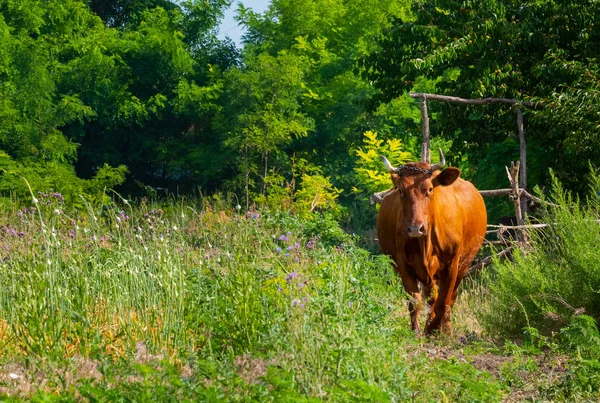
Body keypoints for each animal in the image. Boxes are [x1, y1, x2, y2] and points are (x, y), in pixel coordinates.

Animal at [380, 150, 488, 336]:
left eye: (430, 189)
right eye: (400, 190)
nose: (415, 228)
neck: (426, 244)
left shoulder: (452, 265)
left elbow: (443, 302)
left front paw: (433, 328)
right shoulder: (403, 264)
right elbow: (415, 300)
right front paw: (417, 330)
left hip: (464, 266)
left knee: (450, 298)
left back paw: (446, 328)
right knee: (432, 296)